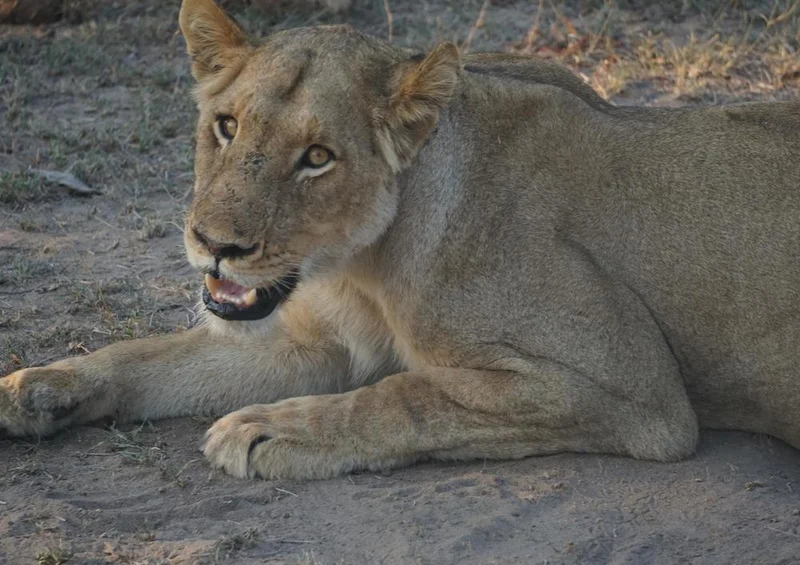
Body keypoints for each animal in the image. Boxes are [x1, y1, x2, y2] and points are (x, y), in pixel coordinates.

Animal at [1, 0, 799, 481]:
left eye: (316, 157)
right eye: (225, 126)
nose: (213, 243)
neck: (359, 268)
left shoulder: (637, 391)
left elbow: (404, 393)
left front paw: (270, 429)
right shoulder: (316, 342)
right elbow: (153, 355)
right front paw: (35, 388)